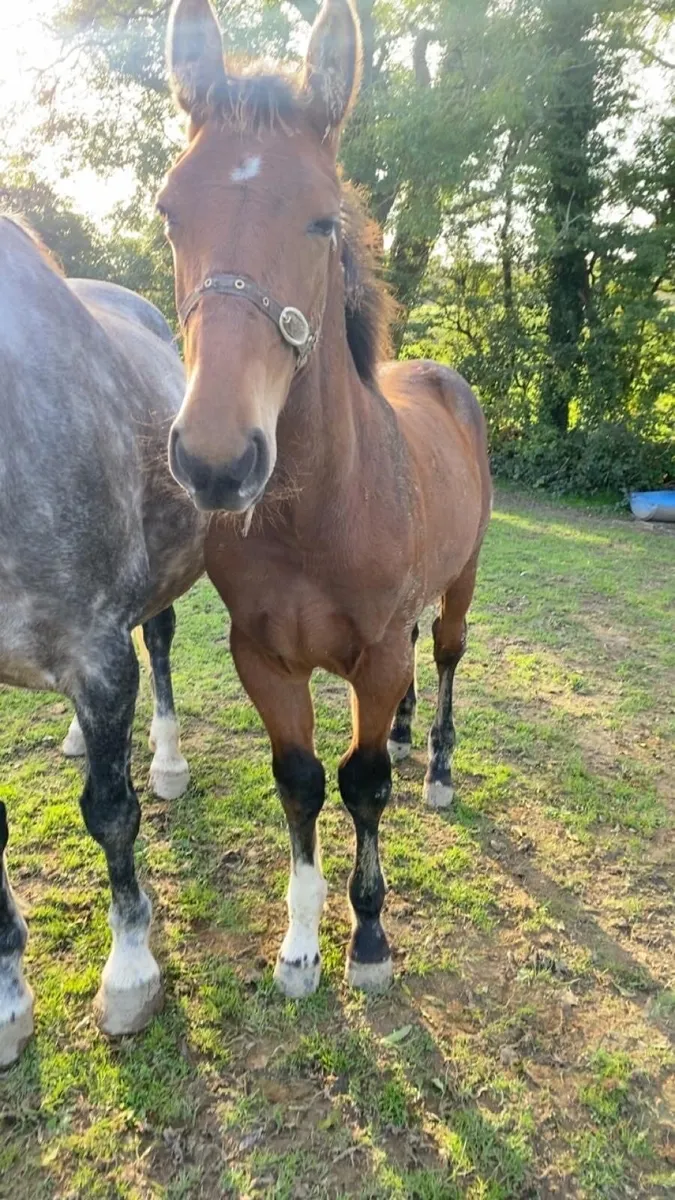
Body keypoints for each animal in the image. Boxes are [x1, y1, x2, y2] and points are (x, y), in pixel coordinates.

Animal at [161, 0, 491, 999]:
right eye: (169, 211)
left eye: (320, 220)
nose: (217, 460)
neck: (314, 518)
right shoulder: (261, 657)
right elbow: (301, 779)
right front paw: (301, 945)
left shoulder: (373, 658)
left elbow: (363, 782)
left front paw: (370, 938)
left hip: (462, 579)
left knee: (445, 652)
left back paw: (439, 763)